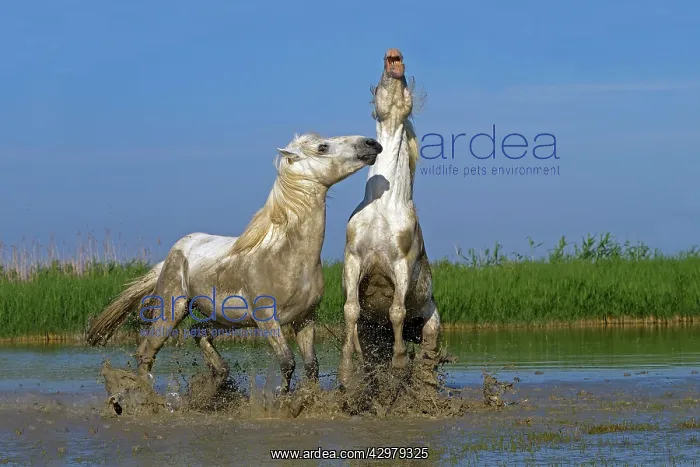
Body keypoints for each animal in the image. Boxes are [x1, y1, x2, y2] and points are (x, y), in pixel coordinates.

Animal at [86, 133, 382, 394]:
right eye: (322, 147)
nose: (371, 144)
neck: (287, 257)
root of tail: (173, 253)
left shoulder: (305, 318)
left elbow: (312, 366)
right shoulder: (267, 319)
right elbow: (287, 362)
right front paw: (282, 399)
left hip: (223, 318)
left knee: (198, 333)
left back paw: (219, 381)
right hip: (172, 309)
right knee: (146, 351)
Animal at [338, 49, 441, 387]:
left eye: (406, 88)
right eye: (380, 86)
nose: (394, 58)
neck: (384, 207)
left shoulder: (401, 264)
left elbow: (396, 311)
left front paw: (398, 364)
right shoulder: (354, 259)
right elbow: (351, 311)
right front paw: (347, 370)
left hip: (430, 328)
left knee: (427, 361)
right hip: (374, 334)